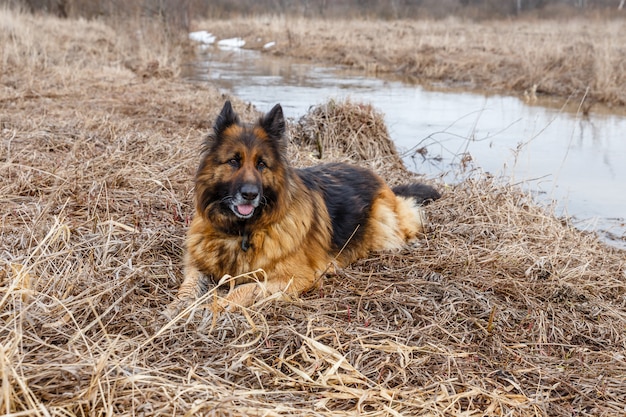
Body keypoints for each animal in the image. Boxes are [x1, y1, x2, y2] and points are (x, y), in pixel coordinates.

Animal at [168, 100, 436, 308]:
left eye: (261, 164)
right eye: (234, 161)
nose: (250, 194)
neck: (242, 231)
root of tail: (376, 176)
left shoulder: (296, 277)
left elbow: (244, 288)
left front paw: (217, 307)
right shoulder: (196, 263)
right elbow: (188, 284)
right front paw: (177, 307)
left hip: (384, 225)